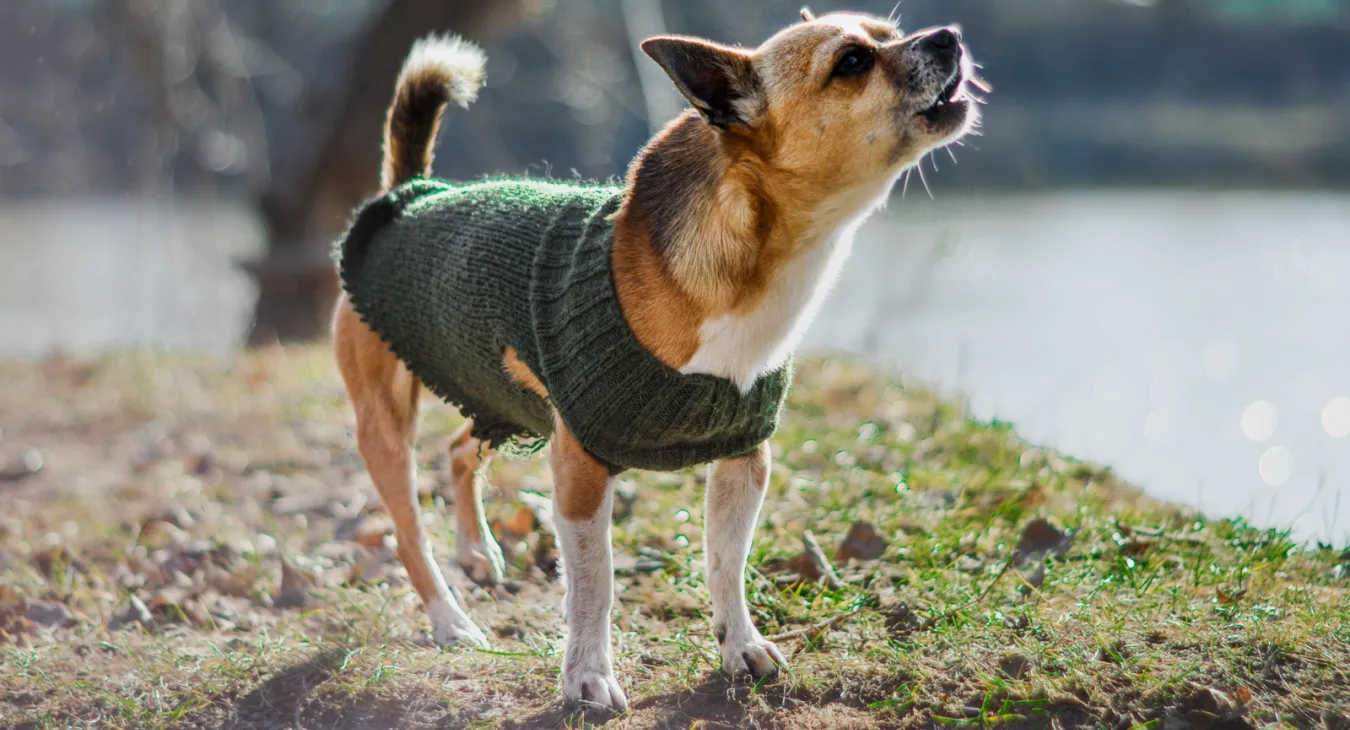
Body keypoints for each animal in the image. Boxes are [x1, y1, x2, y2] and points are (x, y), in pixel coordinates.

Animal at [330, 8, 977, 707]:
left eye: (890, 30)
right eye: (853, 62)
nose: (948, 36)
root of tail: (410, 190)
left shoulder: (744, 457)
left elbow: (725, 562)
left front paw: (740, 645)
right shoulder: (580, 469)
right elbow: (595, 583)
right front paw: (587, 676)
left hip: (497, 390)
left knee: (457, 451)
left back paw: (477, 553)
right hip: (387, 423)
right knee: (408, 529)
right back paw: (449, 618)